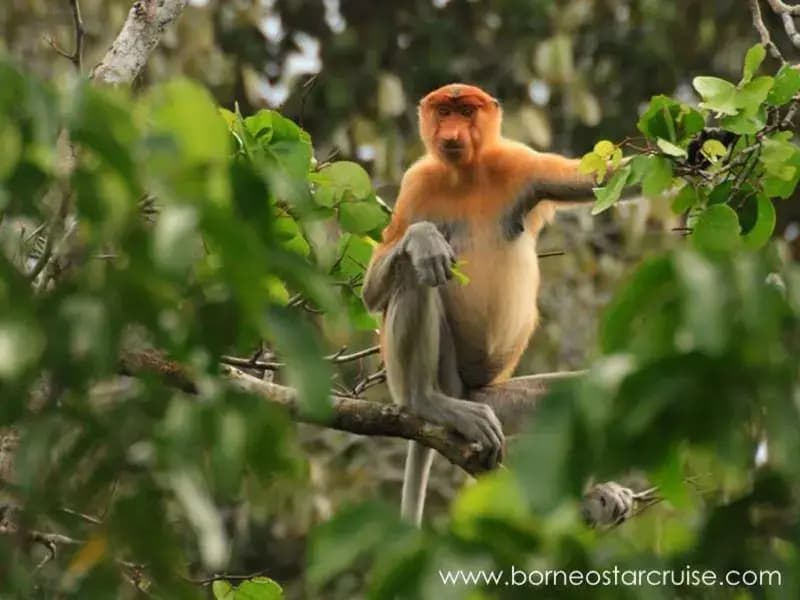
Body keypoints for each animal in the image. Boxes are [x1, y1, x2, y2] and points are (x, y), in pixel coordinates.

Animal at [361, 84, 604, 525]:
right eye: (444, 112)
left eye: (466, 111)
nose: (451, 133)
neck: (466, 174)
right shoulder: (416, 183)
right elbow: (373, 289)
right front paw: (423, 239)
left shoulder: (521, 165)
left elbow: (597, 178)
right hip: (439, 377)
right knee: (413, 274)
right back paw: (427, 402)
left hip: (494, 397)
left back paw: (597, 501)